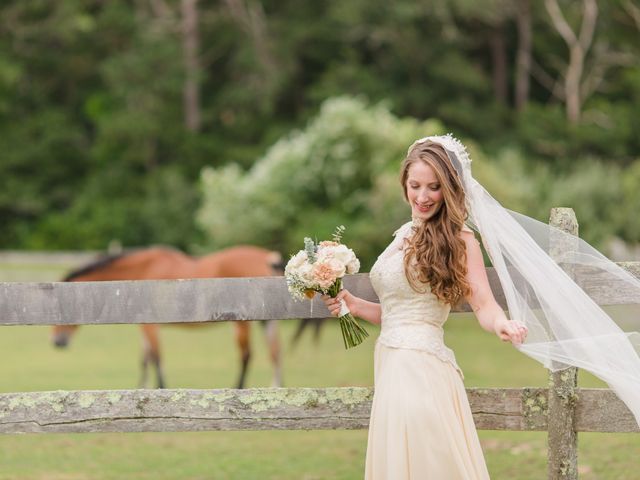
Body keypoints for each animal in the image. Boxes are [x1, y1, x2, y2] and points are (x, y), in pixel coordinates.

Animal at [53, 246, 284, 388]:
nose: (57, 342)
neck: (142, 271)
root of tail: (267, 258)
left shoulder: (150, 327)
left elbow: (156, 357)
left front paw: (160, 388)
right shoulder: (143, 326)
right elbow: (145, 360)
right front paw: (141, 389)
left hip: (243, 324)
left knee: (247, 355)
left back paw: (238, 388)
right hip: (268, 322)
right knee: (275, 353)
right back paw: (276, 387)